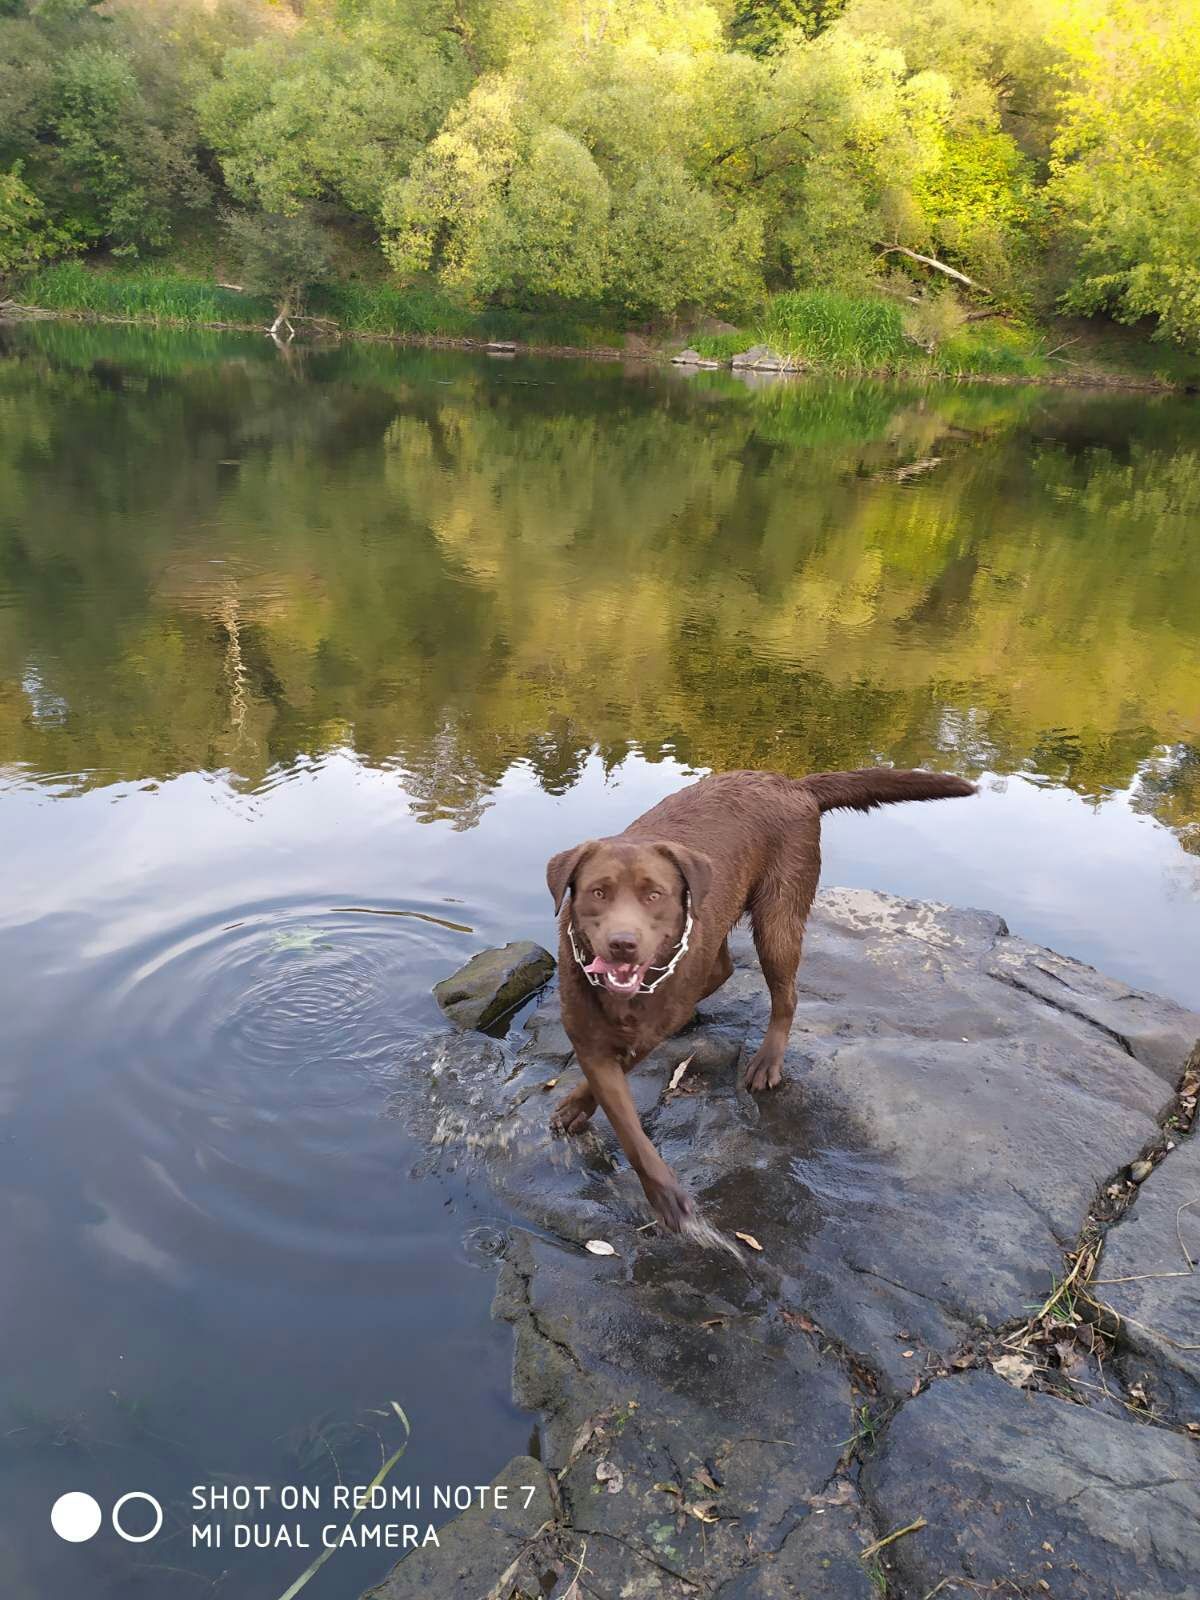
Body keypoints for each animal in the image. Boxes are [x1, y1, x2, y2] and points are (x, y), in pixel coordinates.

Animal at [550, 768, 979, 1228]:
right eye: (598, 892)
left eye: (654, 894)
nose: (622, 944)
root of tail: (791, 784)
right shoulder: (587, 1034)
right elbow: (621, 1114)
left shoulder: (643, 1034)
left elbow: (627, 1111)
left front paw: (666, 1196)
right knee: (722, 968)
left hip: (779, 917)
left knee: (785, 995)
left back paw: (767, 1060)